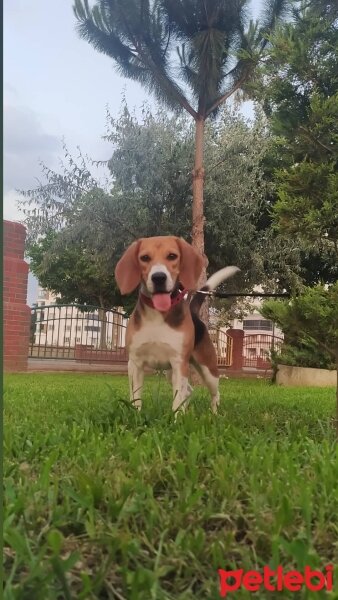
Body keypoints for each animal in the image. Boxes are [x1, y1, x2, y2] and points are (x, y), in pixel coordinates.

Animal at [115, 237, 239, 414]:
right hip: (169, 372)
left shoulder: (179, 364)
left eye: (172, 256)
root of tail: (194, 313)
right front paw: (135, 415)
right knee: (188, 390)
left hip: (207, 369)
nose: (158, 277)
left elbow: (177, 398)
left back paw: (214, 413)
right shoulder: (135, 363)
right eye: (144, 258)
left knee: (214, 393)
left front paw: (176, 418)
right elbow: (136, 397)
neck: (157, 315)